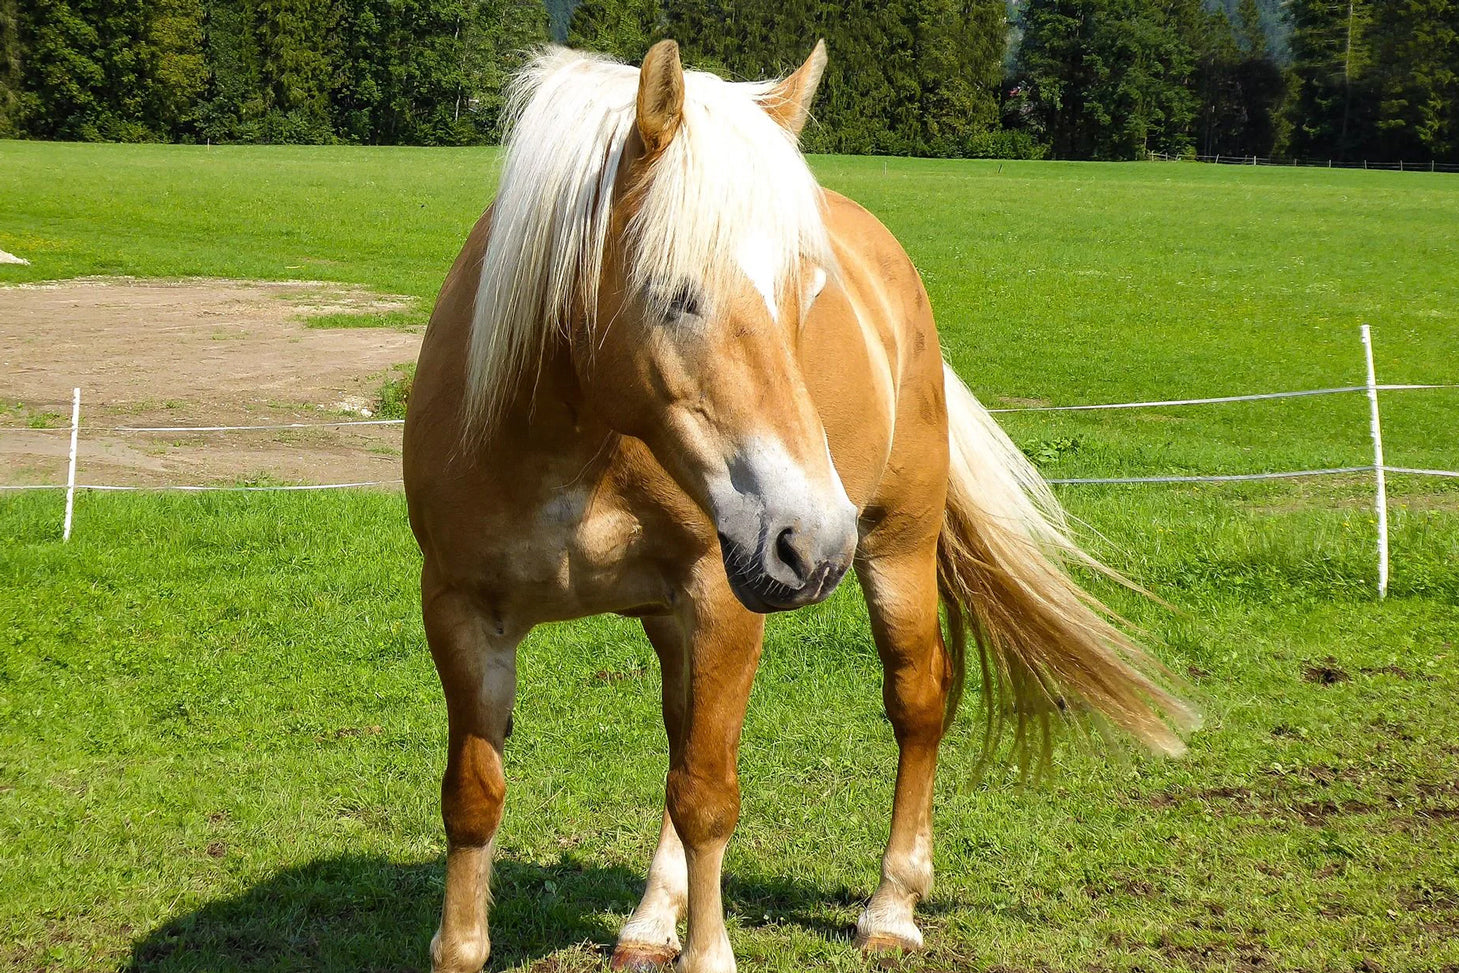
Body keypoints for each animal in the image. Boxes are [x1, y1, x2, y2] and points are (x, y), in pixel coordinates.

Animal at [403, 40, 1196, 973]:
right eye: (673, 292)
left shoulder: (723, 595)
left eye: (806, 293)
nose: (811, 540)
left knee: (912, 703)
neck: (570, 440)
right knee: (681, 737)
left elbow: (707, 795)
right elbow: (474, 796)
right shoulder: (461, 610)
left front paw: (709, 950)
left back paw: (890, 907)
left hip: (895, 550)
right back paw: (649, 920)